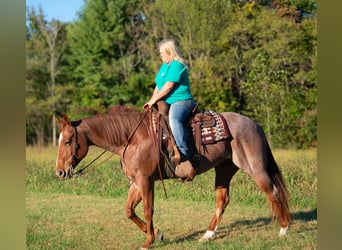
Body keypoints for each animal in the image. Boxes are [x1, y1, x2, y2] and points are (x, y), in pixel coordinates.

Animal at [54, 108, 290, 249]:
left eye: (67, 141)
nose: (59, 172)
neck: (133, 139)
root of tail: (255, 124)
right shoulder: (136, 182)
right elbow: (129, 210)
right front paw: (157, 234)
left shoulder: (145, 181)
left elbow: (148, 209)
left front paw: (148, 240)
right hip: (224, 169)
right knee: (222, 201)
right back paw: (207, 235)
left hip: (255, 168)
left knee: (273, 192)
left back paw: (284, 229)